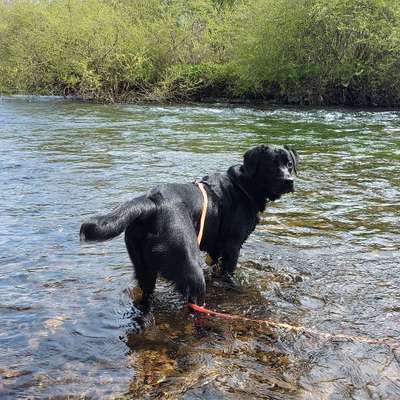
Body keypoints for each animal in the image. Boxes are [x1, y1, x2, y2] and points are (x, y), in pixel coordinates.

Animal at [80, 145, 296, 308]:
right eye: (271, 164)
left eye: (289, 164)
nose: (289, 181)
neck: (243, 185)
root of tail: (151, 203)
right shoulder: (232, 247)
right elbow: (228, 274)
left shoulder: (215, 249)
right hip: (190, 266)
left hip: (144, 269)